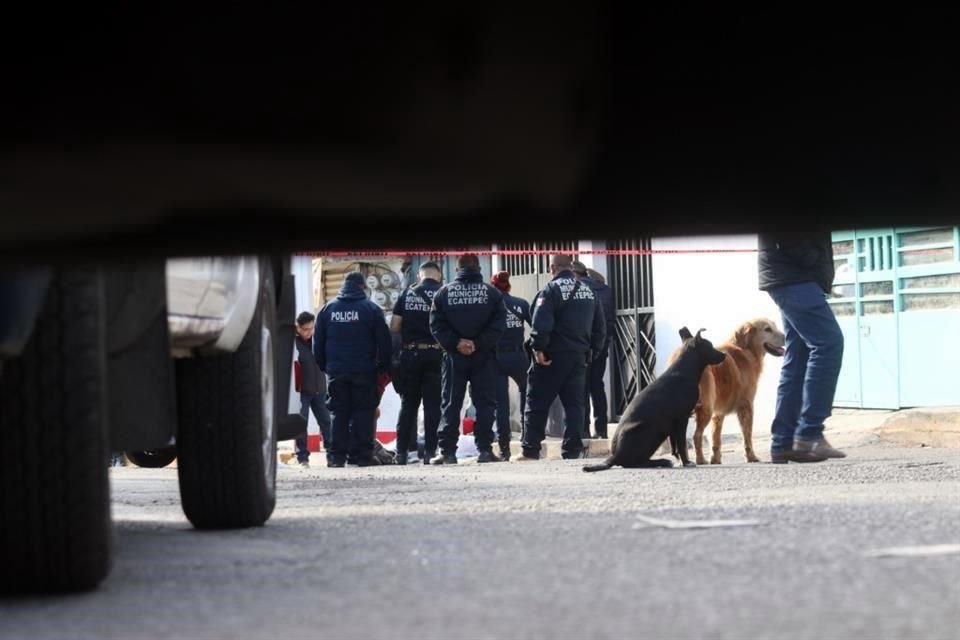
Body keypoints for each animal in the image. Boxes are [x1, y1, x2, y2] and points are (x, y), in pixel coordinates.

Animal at [580, 330, 724, 470]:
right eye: (710, 346)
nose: (724, 355)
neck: (685, 369)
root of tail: (614, 457)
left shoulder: (674, 424)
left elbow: (675, 447)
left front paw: (680, 461)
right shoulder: (682, 418)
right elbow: (681, 444)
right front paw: (687, 462)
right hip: (651, 431)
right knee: (633, 463)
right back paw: (661, 461)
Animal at [672, 320, 784, 464]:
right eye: (767, 329)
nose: (785, 337)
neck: (746, 349)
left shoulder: (718, 413)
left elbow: (716, 439)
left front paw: (715, 460)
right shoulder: (746, 405)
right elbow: (747, 436)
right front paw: (751, 457)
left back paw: (685, 461)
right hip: (705, 408)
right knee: (696, 436)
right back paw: (700, 460)